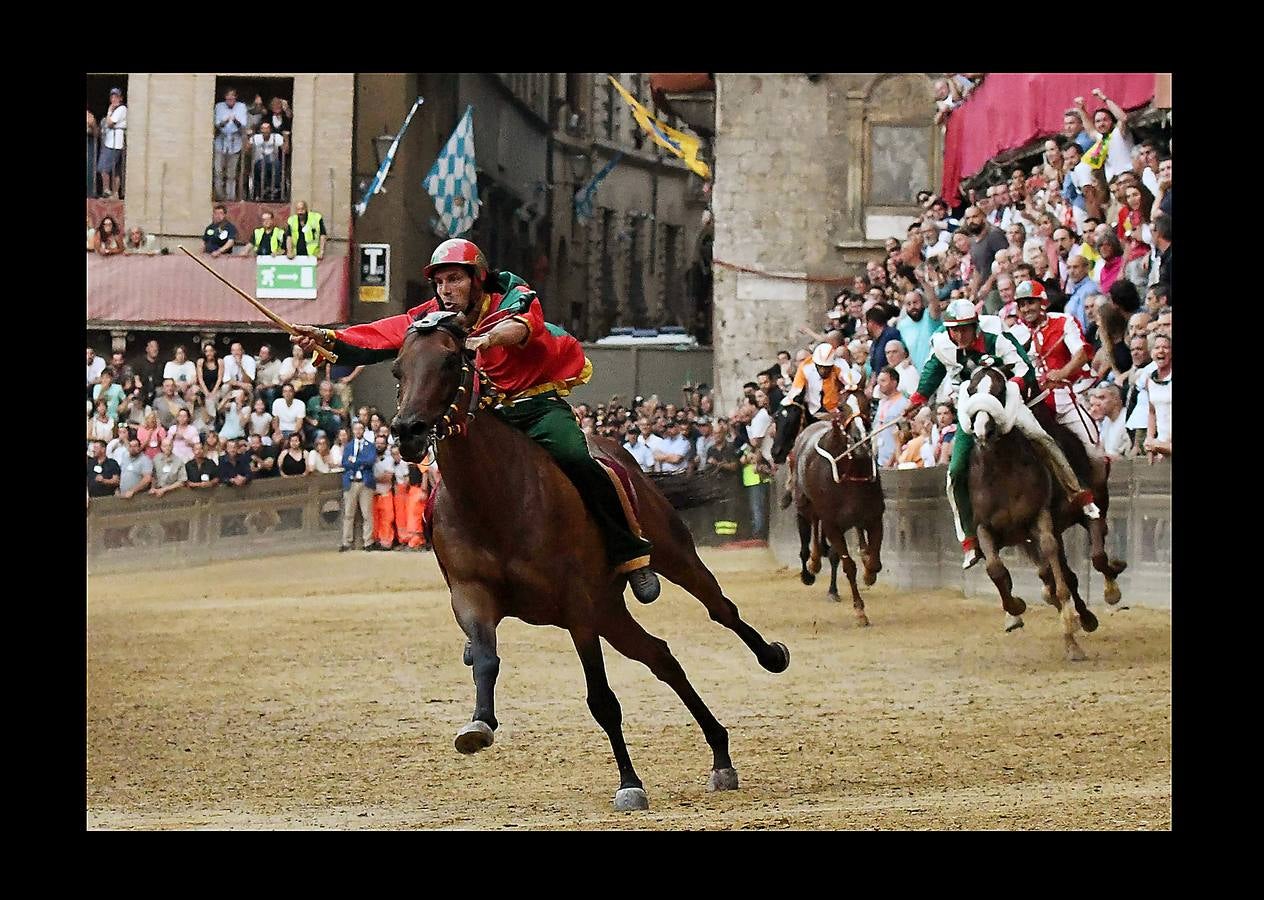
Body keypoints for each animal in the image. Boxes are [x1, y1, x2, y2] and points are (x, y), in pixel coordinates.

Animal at [389, 313, 788, 814]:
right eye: (398, 369)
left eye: (447, 361)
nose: (407, 430)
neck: (492, 496)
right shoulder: (471, 596)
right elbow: (485, 658)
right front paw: (478, 724)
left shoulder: (577, 607)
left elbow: (602, 700)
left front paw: (630, 782)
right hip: (609, 611)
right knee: (662, 657)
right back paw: (719, 754)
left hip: (669, 557)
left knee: (721, 610)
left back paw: (769, 656)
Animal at [783, 407, 884, 626]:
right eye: (843, 406)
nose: (860, 440)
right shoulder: (831, 523)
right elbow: (848, 565)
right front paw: (860, 611)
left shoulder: (873, 518)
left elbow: (873, 561)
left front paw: (868, 573)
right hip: (804, 507)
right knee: (806, 541)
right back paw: (809, 571)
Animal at [960, 361, 1102, 657]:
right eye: (970, 390)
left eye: (1000, 390)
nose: (982, 432)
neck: (1002, 471)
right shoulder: (985, 526)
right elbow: (995, 567)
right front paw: (1015, 608)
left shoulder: (1039, 517)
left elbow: (1054, 565)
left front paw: (1071, 637)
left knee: (1092, 535)